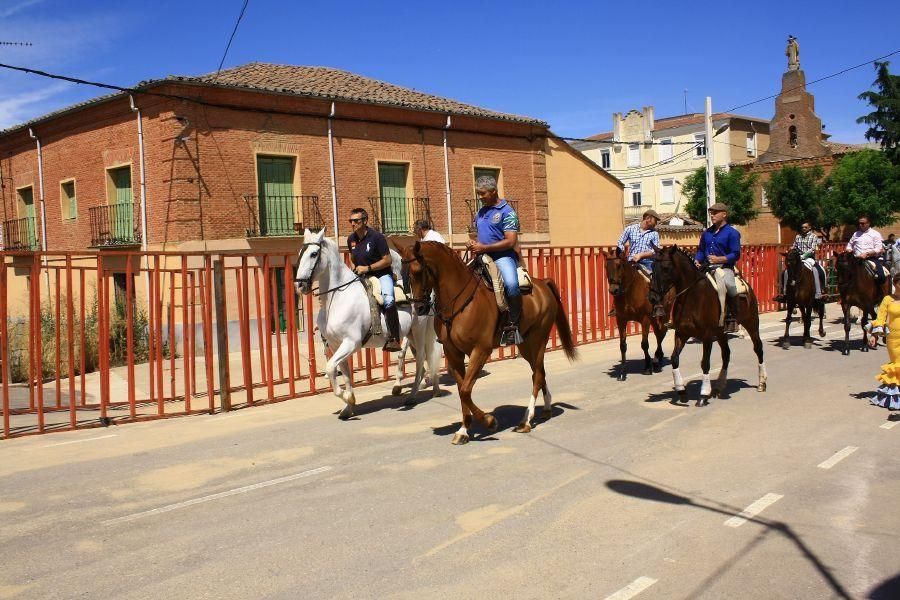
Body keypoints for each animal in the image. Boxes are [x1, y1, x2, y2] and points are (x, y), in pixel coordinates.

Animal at [294, 227, 438, 420]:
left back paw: (413, 395)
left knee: (422, 357)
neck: (337, 297)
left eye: (314, 254)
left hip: (419, 330)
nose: (299, 285)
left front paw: (346, 397)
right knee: (424, 357)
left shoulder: (351, 343)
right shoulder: (335, 344)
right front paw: (348, 406)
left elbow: (331, 368)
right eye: (300, 253)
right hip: (411, 335)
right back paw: (432, 387)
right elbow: (345, 373)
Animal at [400, 240, 576, 446]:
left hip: (538, 339)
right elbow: (462, 390)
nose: (419, 308)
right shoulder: (453, 353)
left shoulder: (481, 350)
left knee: (538, 375)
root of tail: (543, 283)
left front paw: (489, 421)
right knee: (538, 372)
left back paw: (526, 420)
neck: (459, 300)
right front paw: (464, 430)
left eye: (418, 271)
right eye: (403, 274)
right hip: (525, 345)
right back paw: (546, 408)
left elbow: (465, 390)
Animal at [604, 248, 668, 380]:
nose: (613, 290)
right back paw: (657, 359)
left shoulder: (645, 319)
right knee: (659, 334)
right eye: (605, 266)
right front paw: (622, 372)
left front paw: (648, 367)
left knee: (661, 334)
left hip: (662, 315)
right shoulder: (621, 320)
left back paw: (657, 361)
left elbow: (644, 344)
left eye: (619, 265)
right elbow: (622, 345)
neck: (629, 292)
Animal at [648, 245, 768, 408]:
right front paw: (681, 391)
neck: (691, 296)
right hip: (721, 333)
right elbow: (674, 359)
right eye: (653, 266)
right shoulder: (681, 334)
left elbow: (705, 363)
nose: (652, 298)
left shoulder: (706, 336)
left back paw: (762, 382)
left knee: (758, 348)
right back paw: (719, 386)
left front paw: (703, 395)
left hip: (751, 323)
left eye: (666, 268)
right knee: (726, 354)